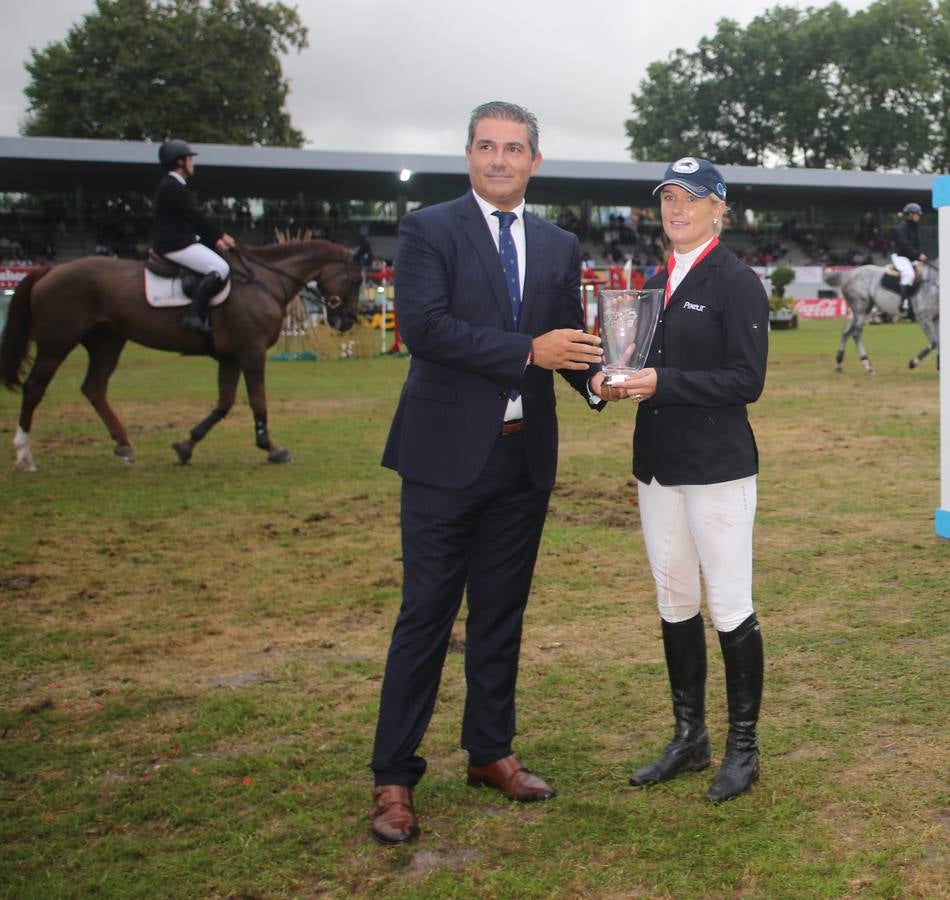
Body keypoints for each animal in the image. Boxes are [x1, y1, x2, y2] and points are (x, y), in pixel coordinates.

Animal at [0, 239, 364, 472]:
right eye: (357, 279)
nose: (346, 321)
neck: (264, 281)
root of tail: (50, 270)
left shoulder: (231, 356)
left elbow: (224, 404)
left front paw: (187, 445)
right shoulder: (251, 350)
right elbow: (257, 400)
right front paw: (273, 448)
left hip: (107, 341)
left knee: (94, 388)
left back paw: (123, 445)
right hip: (57, 342)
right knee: (35, 389)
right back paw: (24, 456)